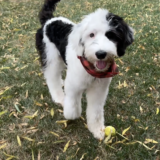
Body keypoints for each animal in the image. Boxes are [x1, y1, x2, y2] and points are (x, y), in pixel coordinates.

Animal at [36, 0, 134, 139]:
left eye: (111, 35)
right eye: (91, 34)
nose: (101, 53)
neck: (92, 69)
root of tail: (49, 21)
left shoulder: (98, 90)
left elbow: (96, 112)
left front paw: (97, 130)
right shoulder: (73, 86)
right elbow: (73, 107)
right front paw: (70, 113)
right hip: (50, 57)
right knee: (51, 77)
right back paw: (59, 98)